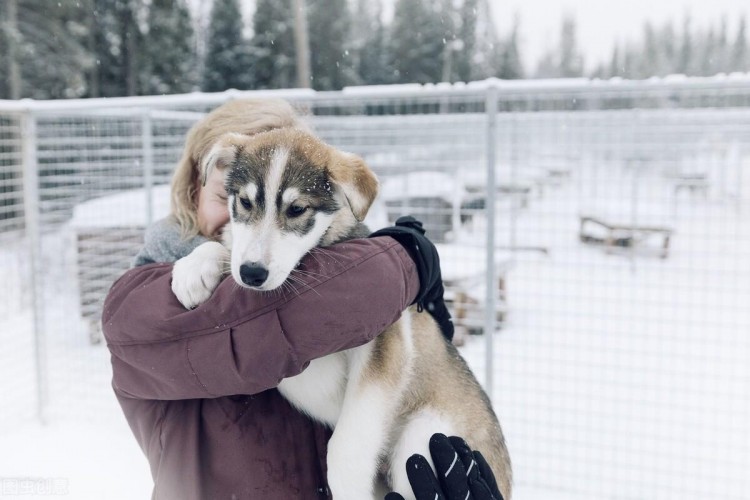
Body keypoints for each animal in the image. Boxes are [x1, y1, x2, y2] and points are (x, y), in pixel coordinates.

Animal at [171, 128, 516, 496]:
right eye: (246, 202)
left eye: (297, 209)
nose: (252, 274)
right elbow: (226, 244)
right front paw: (195, 267)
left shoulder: (386, 344)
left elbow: (344, 449)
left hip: (424, 435)